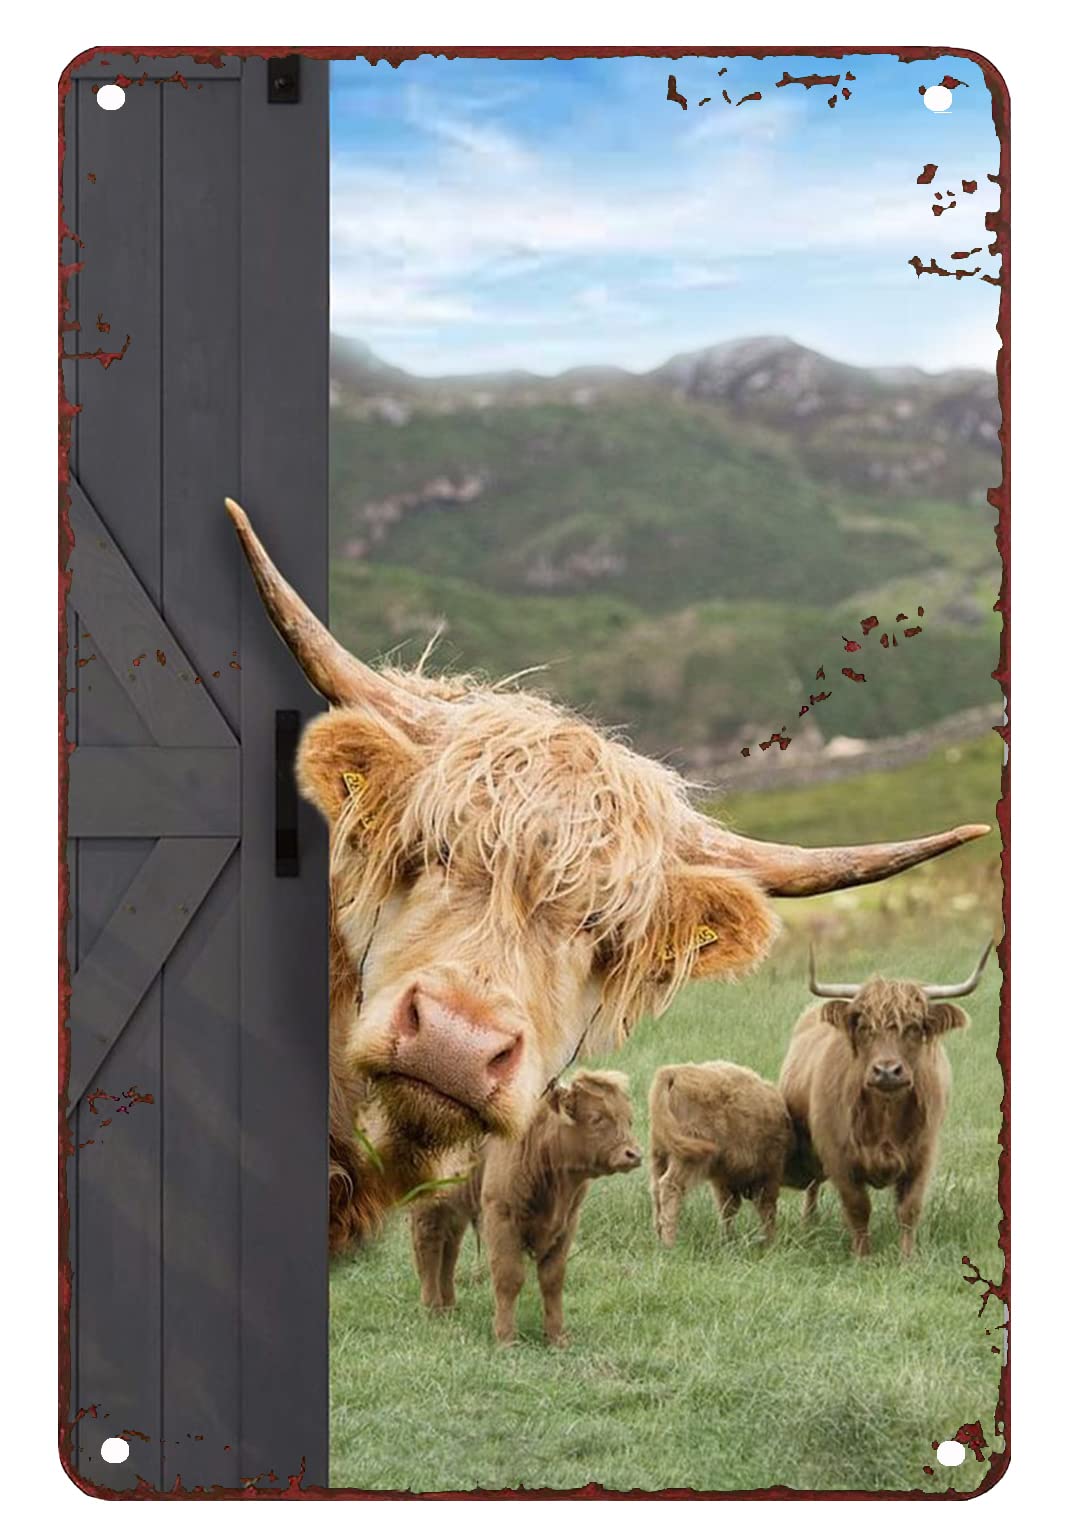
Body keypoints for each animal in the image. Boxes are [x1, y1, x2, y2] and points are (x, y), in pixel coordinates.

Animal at [410, 1069, 640, 1345]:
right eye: (596, 1118)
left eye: (629, 1120)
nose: (633, 1154)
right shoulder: (501, 1219)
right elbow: (509, 1277)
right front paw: (506, 1338)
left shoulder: (567, 1224)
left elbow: (552, 1280)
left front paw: (557, 1337)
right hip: (429, 1205)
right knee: (428, 1248)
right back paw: (432, 1309)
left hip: (455, 1211)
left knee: (448, 1252)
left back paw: (449, 1307)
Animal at [649, 1061, 793, 1247]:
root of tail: (674, 1072)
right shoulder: (769, 1173)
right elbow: (767, 1208)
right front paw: (770, 1242)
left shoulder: (724, 1179)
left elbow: (728, 1208)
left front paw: (727, 1240)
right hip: (689, 1158)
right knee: (670, 1187)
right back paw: (669, 1244)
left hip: (660, 1155)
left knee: (656, 1190)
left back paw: (658, 1238)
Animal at [778, 940, 995, 1257]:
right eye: (865, 1027)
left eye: (914, 1027)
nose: (887, 1071)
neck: (885, 1115)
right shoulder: (838, 1154)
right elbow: (858, 1207)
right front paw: (862, 1256)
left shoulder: (923, 1154)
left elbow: (909, 1209)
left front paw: (907, 1257)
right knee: (813, 1185)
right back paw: (810, 1225)